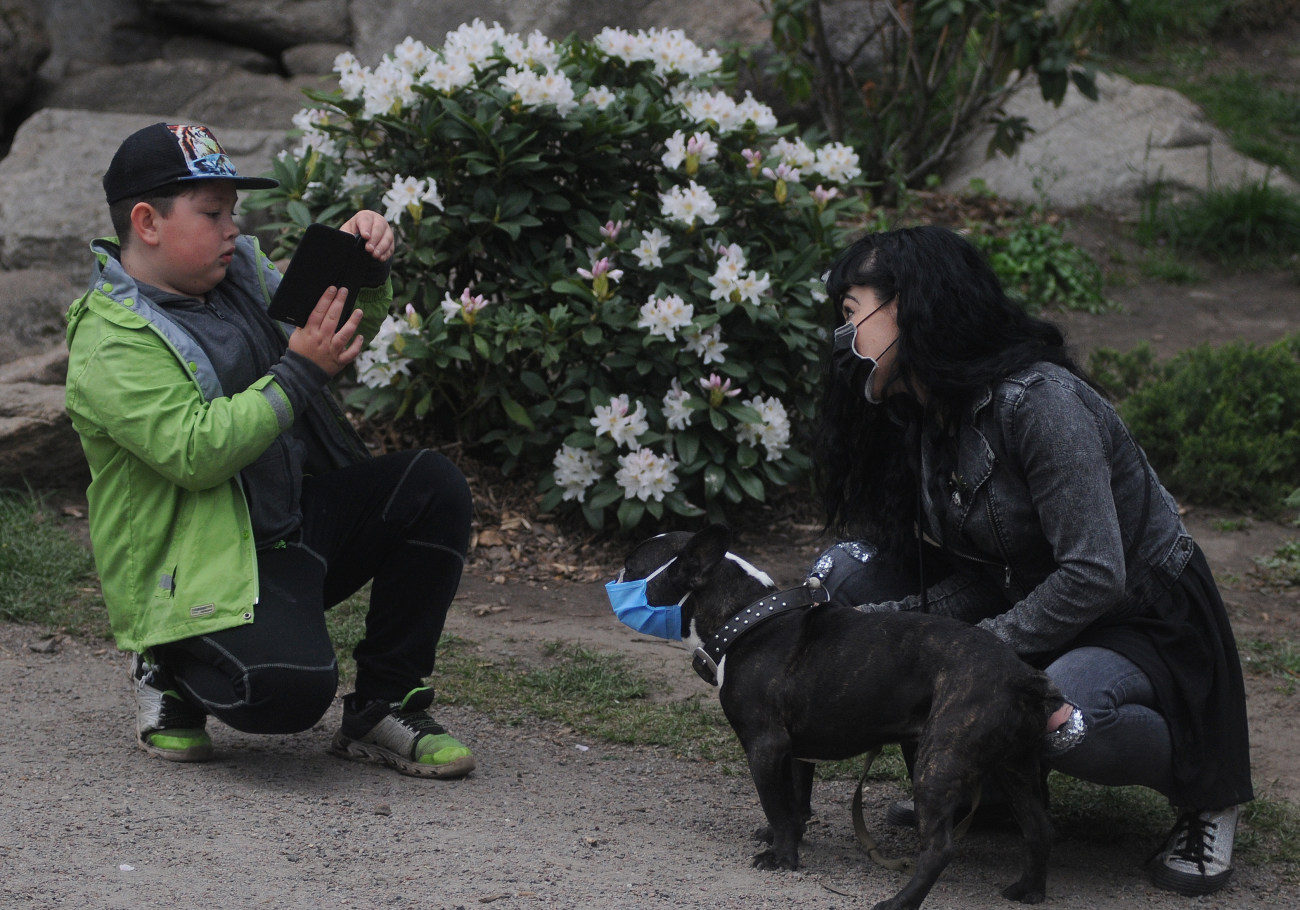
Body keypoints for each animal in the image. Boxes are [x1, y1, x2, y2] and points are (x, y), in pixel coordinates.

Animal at [624, 525, 1060, 909]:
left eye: (631, 566)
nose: (617, 576)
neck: (744, 619)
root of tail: (1023, 677)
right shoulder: (793, 752)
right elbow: (795, 801)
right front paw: (790, 837)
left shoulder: (765, 747)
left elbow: (774, 803)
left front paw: (782, 858)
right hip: (1014, 766)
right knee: (1037, 827)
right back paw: (1029, 889)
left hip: (939, 762)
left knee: (940, 848)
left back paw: (899, 903)